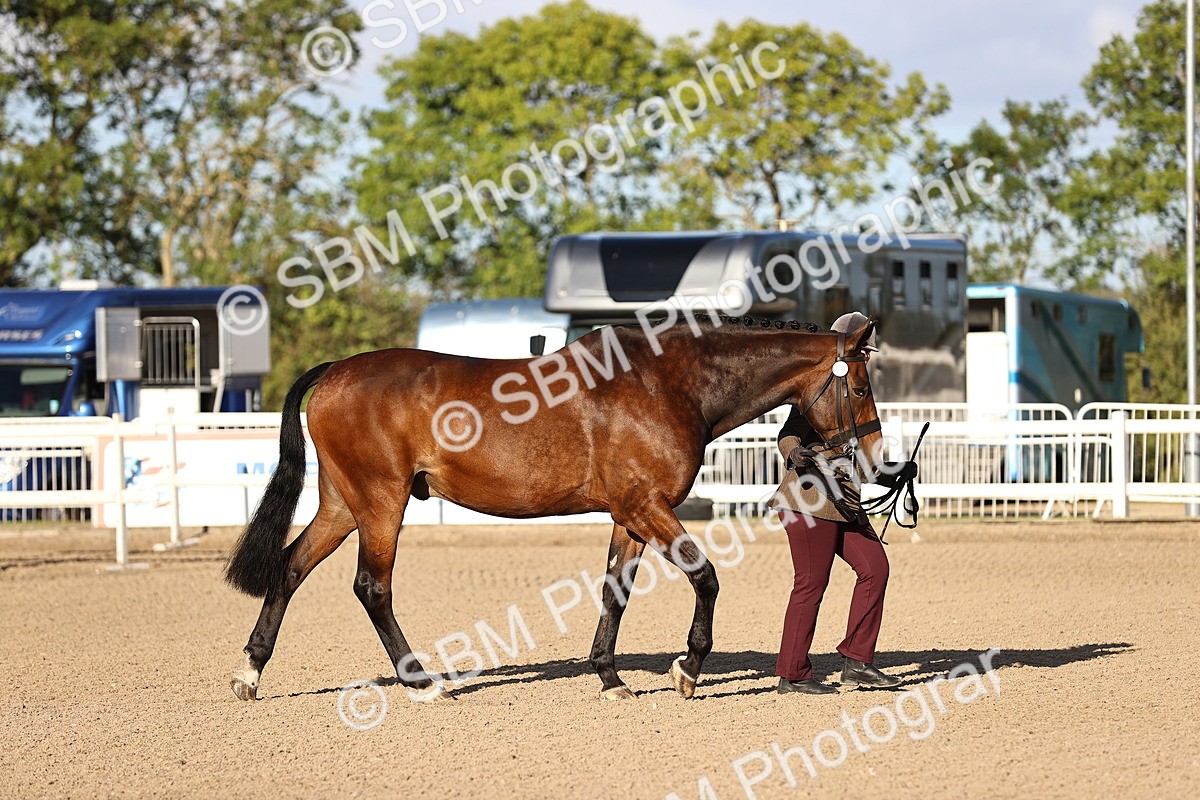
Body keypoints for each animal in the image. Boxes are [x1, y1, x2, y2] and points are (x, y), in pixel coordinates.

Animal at [224, 314, 883, 702]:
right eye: (859, 386)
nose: (877, 457)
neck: (668, 383)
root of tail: (337, 369)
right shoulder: (649, 507)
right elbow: (706, 578)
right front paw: (688, 670)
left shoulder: (630, 516)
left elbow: (615, 591)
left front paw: (610, 678)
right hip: (381, 503)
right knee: (371, 587)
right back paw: (423, 682)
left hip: (343, 505)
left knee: (291, 566)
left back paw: (250, 673)